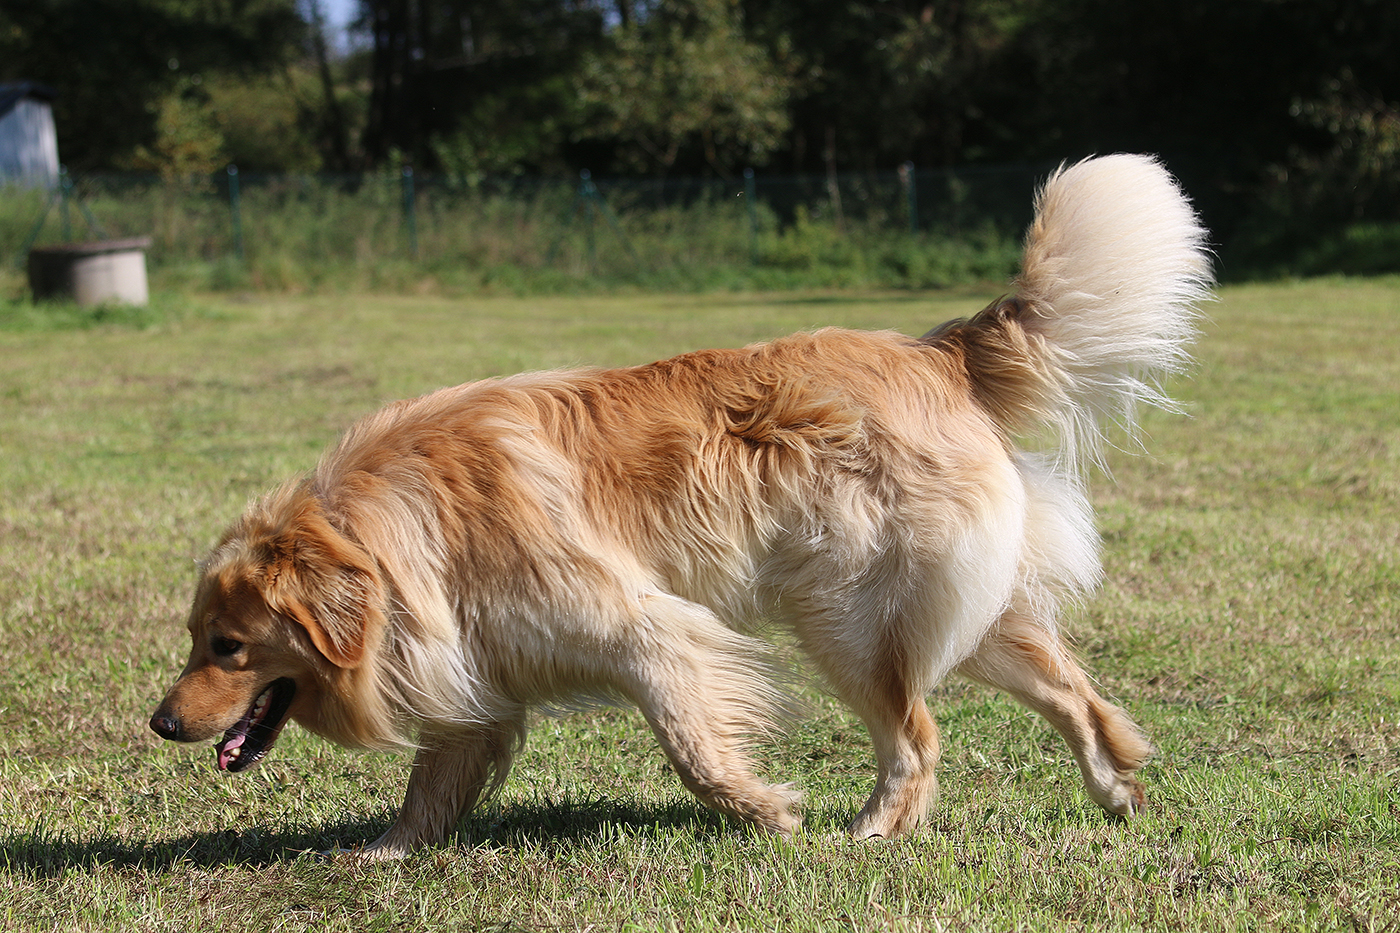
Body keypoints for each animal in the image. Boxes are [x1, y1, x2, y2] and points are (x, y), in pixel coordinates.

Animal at [151, 154, 1211, 859]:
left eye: (228, 646)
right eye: (198, 638)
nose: (159, 724)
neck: (393, 535)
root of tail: (936, 349)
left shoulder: (646, 630)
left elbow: (694, 746)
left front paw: (768, 811)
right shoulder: (470, 656)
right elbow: (433, 781)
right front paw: (389, 850)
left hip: (845, 616)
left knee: (917, 738)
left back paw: (869, 829)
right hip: (952, 609)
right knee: (1069, 689)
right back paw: (1116, 789)